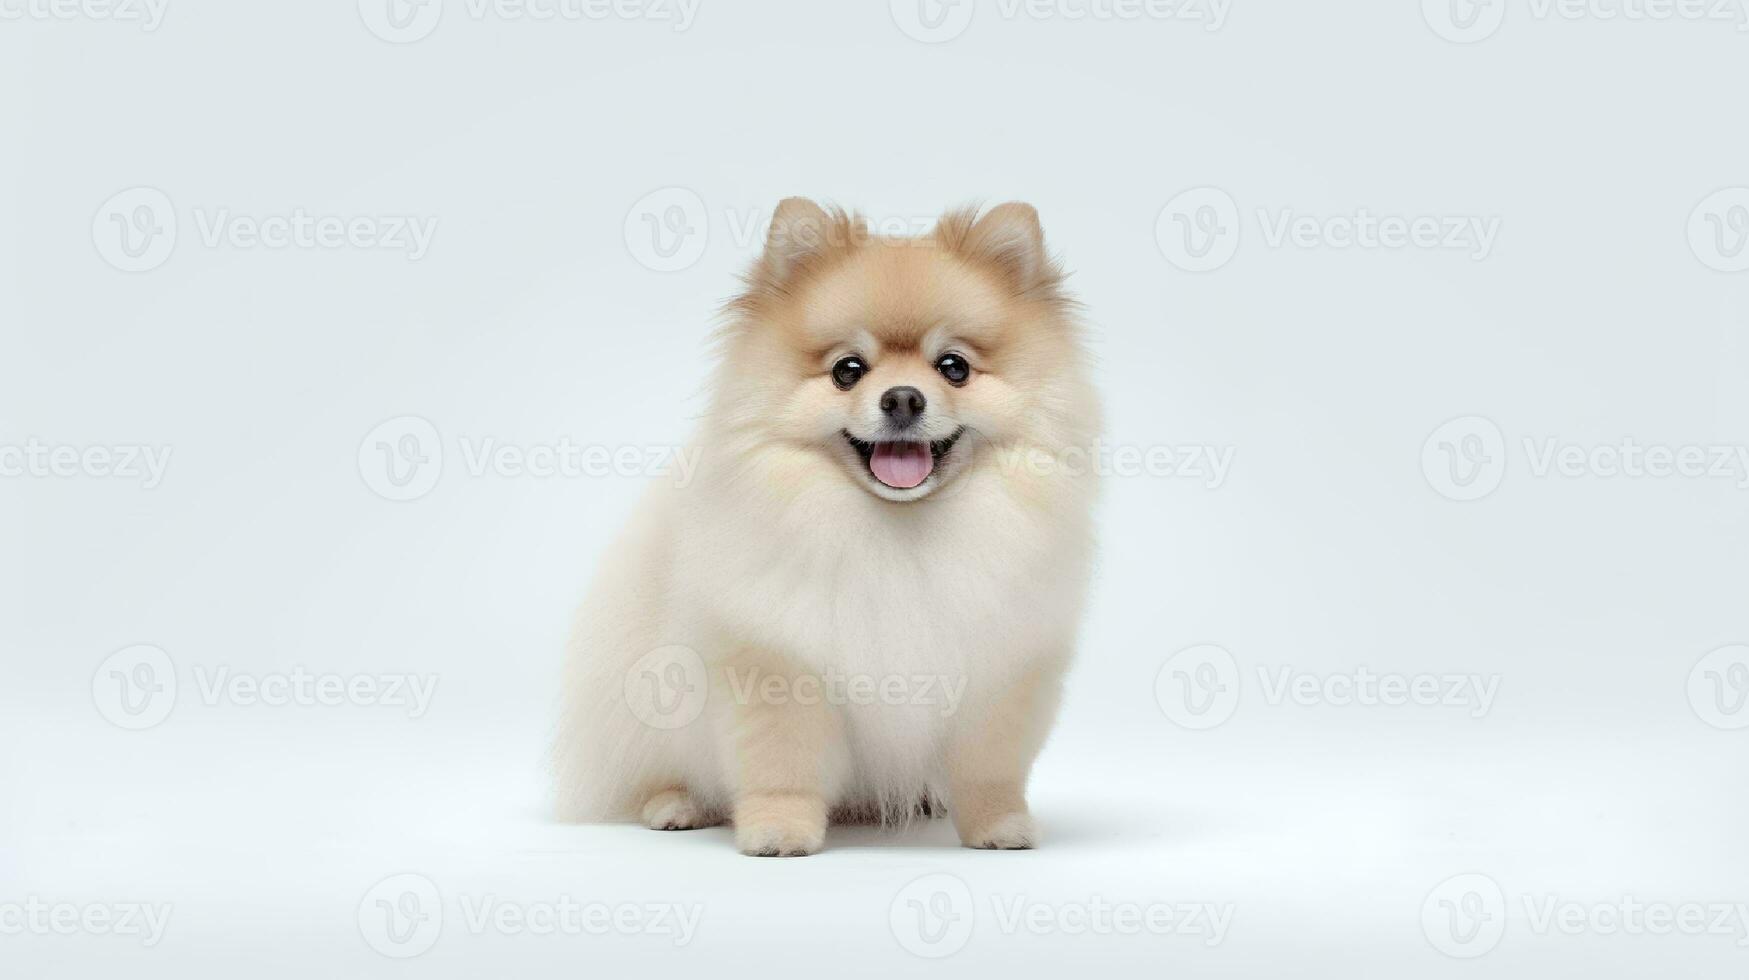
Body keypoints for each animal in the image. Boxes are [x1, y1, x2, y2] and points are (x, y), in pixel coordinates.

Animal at [552, 199, 1098, 857]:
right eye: (847, 370)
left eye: (954, 367)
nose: (903, 398)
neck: (899, 530)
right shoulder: (780, 665)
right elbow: (785, 764)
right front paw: (779, 831)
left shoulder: (1000, 669)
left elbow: (988, 768)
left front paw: (999, 826)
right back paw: (676, 805)